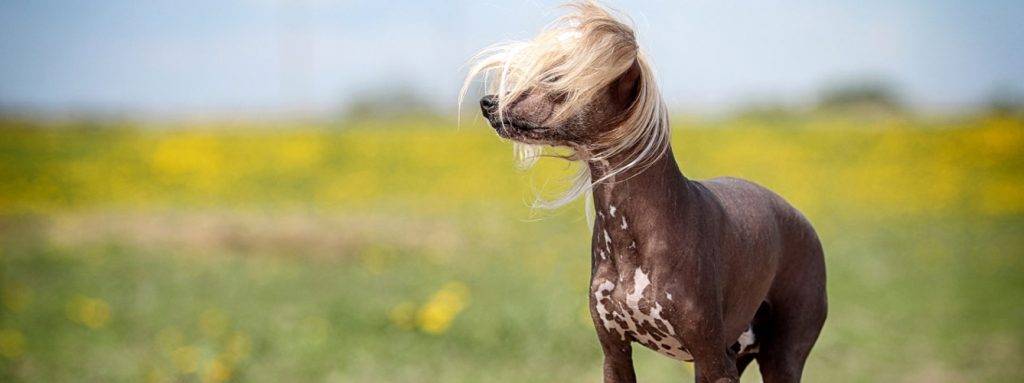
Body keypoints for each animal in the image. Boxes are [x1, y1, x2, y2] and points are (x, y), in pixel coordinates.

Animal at [460, 1, 827, 380]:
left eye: (556, 79)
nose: (487, 102)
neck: (630, 233)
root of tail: (800, 217)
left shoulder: (711, 360)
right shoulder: (614, 354)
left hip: (781, 356)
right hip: (736, 354)